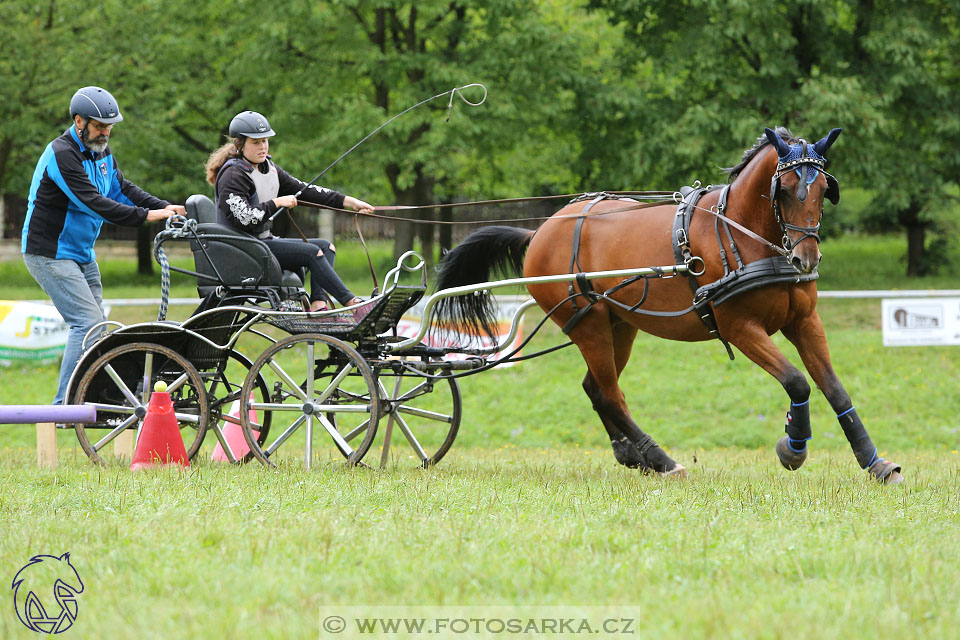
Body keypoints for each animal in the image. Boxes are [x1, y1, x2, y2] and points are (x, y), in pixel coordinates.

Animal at [436, 127, 900, 482]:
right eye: (784, 189)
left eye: (822, 188)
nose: (806, 258)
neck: (744, 234)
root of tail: (539, 233)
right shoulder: (739, 327)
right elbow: (797, 382)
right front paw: (793, 447)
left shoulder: (804, 320)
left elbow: (834, 388)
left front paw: (874, 462)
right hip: (586, 322)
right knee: (609, 394)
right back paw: (661, 460)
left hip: (618, 324)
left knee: (596, 388)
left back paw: (633, 454)